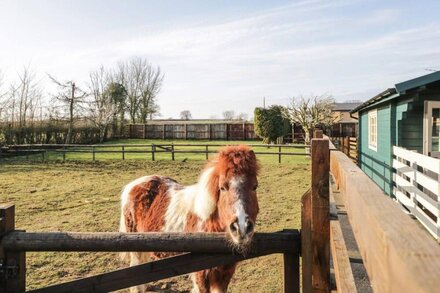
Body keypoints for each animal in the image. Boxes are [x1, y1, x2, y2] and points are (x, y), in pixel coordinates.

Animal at [118, 144, 260, 292]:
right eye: (222, 187)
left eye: (254, 186)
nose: (241, 228)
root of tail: (134, 184)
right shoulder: (200, 274)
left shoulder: (225, 273)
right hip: (135, 246)